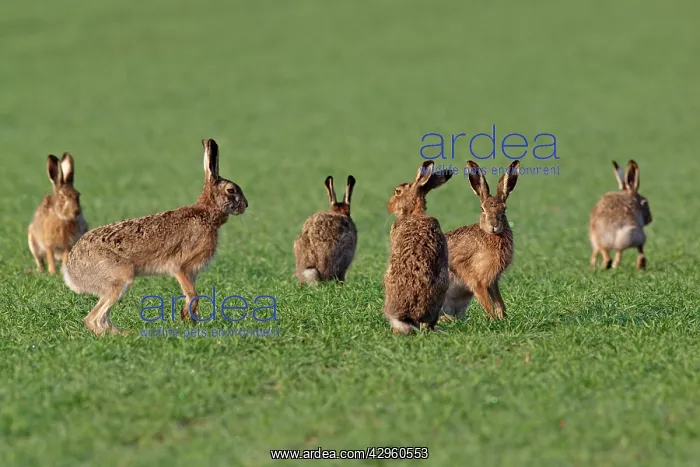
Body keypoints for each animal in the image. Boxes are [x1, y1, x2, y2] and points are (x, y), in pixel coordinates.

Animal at [62, 139, 247, 335]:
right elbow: (193, 294)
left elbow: (191, 295)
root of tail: (71, 271)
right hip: (119, 279)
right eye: (231, 190)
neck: (207, 214)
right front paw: (188, 320)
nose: (246, 205)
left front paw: (189, 320)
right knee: (93, 319)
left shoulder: (192, 273)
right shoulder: (181, 267)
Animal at [440, 159, 520, 322]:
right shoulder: (478, 281)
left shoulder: (492, 281)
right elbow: (487, 303)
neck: (490, 235)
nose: (494, 224)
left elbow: (499, 301)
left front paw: (503, 318)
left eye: (504, 210)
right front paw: (494, 320)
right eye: (482, 209)